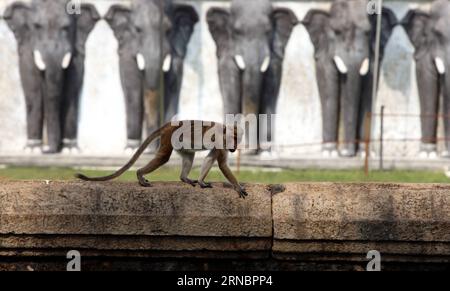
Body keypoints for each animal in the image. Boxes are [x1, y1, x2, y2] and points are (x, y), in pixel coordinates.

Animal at [75, 120, 248, 198]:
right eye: (233, 140)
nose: (234, 148)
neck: (224, 132)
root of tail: (170, 124)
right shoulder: (220, 140)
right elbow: (222, 164)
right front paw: (237, 187)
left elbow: (212, 158)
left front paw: (201, 181)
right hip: (169, 137)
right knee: (163, 157)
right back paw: (139, 173)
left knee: (188, 155)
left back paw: (184, 178)